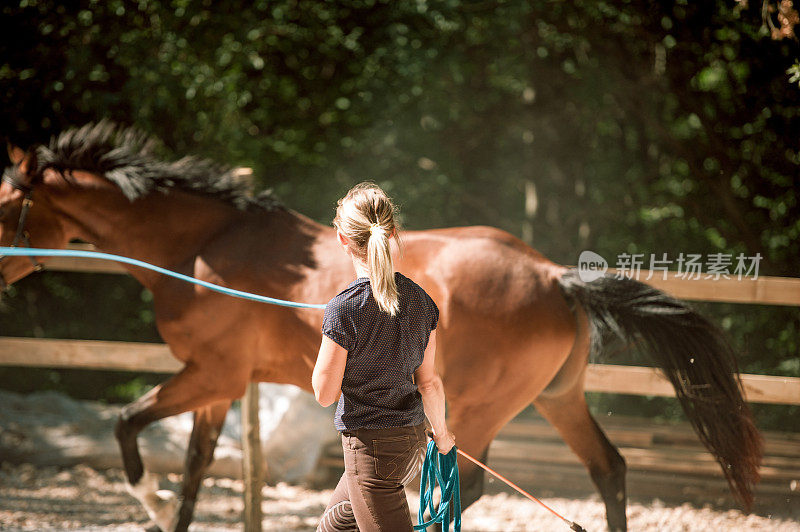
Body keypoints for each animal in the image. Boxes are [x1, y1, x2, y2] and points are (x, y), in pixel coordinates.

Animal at [1, 121, 764, 532]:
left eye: (9, 203)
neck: (203, 247)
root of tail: (554, 277)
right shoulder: (220, 388)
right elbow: (191, 472)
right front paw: (170, 509)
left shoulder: (209, 375)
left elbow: (128, 428)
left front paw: (151, 505)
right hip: (556, 398)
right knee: (608, 469)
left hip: (479, 408)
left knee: (465, 484)